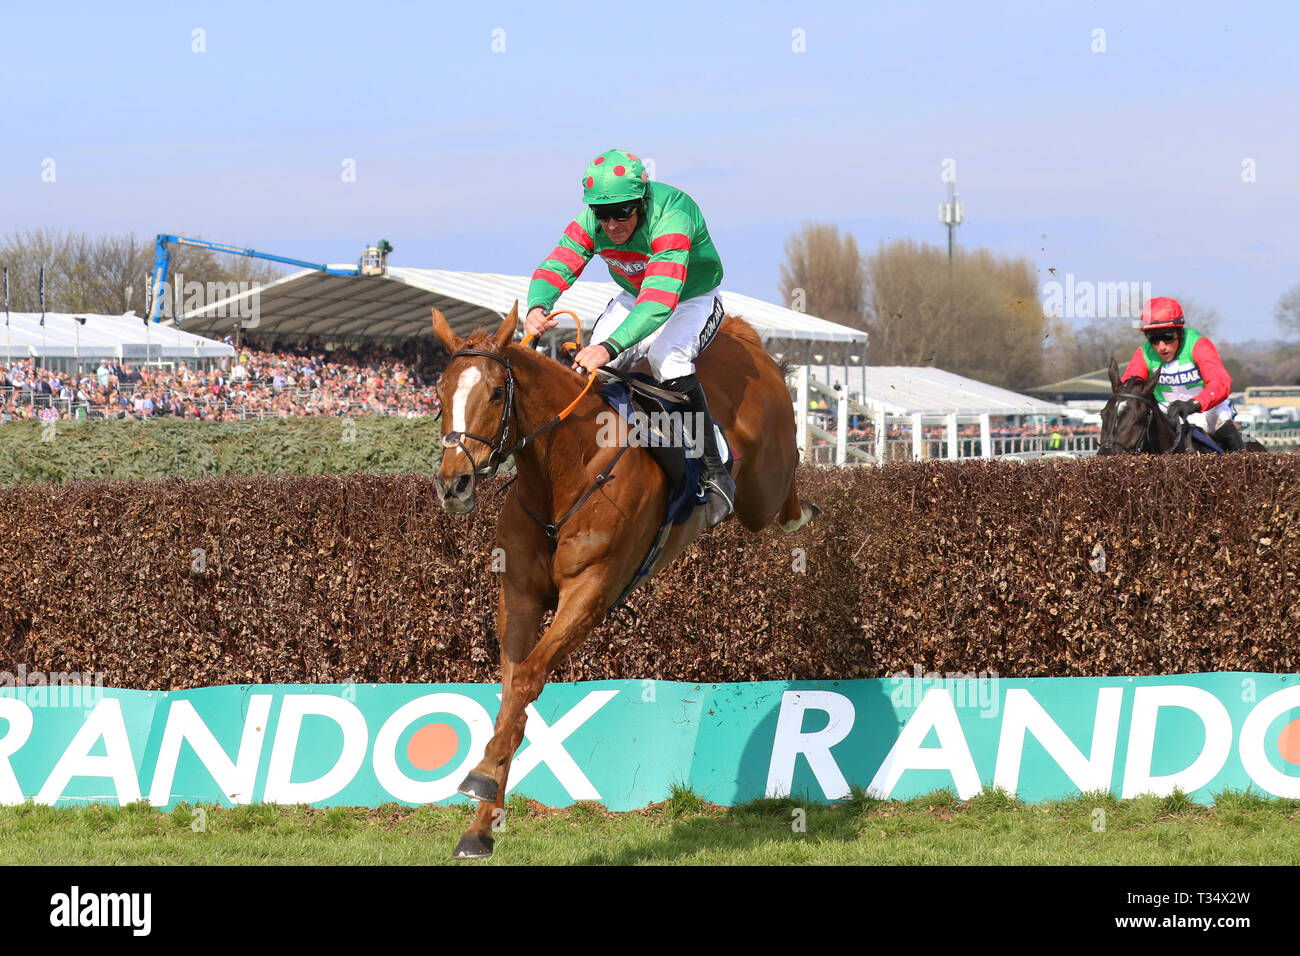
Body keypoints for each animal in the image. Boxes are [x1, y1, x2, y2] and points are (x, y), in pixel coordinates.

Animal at [428, 300, 811, 858]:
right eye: (440, 393)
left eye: (497, 392)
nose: (453, 485)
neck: (565, 471)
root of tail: (746, 337)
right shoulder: (519, 597)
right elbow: (512, 692)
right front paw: (480, 823)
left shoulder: (589, 595)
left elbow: (529, 677)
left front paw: (479, 778)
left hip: (763, 489)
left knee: (788, 484)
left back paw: (801, 514)